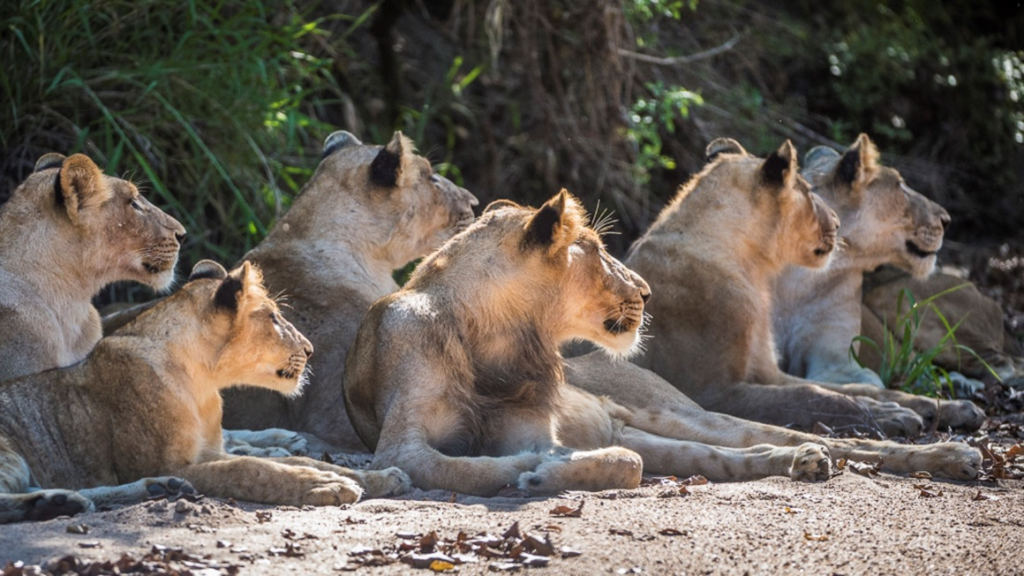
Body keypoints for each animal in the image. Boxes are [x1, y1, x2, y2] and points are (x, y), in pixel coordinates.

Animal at [0, 262, 407, 522]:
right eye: (274, 317)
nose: (309, 349)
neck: (202, 382)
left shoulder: (207, 451)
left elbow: (303, 460)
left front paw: (382, 477)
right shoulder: (168, 461)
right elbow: (251, 469)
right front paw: (325, 485)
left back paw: (144, 492)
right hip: (9, 450)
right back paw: (50, 504)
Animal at [339, 188, 978, 494]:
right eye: (598, 252)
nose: (646, 292)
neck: (499, 341)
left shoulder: (536, 432)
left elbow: (615, 462)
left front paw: (544, 473)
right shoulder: (402, 449)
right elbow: (474, 466)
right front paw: (537, 472)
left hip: (681, 411)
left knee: (824, 438)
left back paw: (951, 455)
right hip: (664, 430)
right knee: (729, 456)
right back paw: (797, 463)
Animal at [577, 138, 983, 434]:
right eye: (806, 191)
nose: (837, 222)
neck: (751, 268)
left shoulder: (767, 371)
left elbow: (852, 389)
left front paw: (938, 408)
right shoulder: (712, 389)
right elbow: (812, 396)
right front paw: (890, 417)